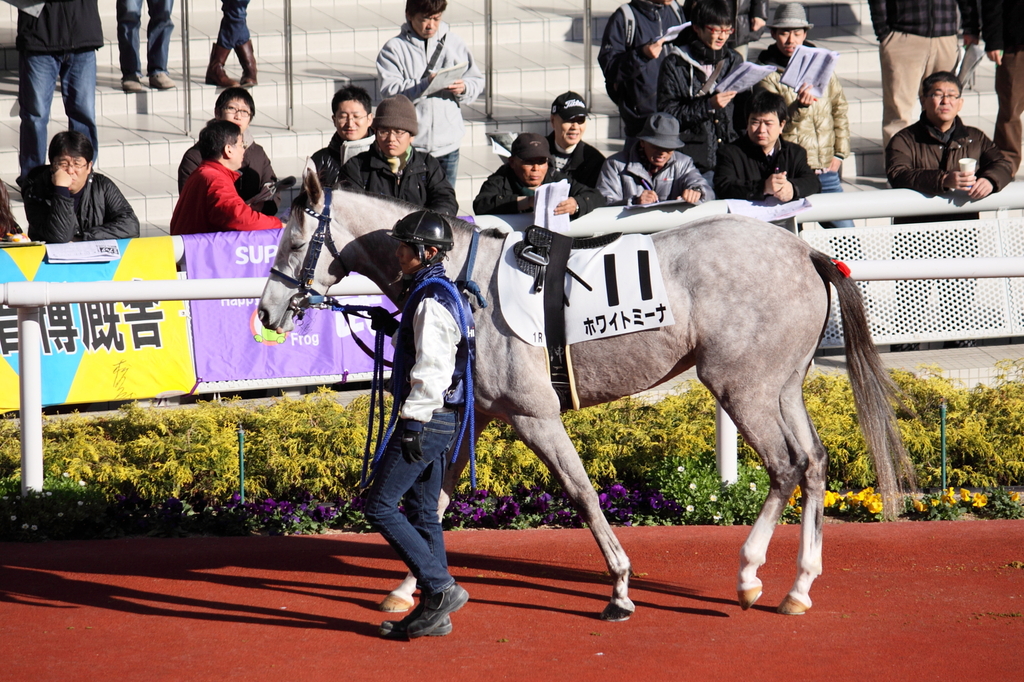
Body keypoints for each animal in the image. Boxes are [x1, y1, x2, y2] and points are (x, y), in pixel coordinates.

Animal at [258, 169, 913, 622]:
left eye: (291, 242)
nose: (266, 312)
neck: (465, 282)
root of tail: (805, 251)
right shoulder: (481, 415)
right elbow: (438, 500)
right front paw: (406, 587)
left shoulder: (534, 415)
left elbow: (581, 493)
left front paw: (620, 587)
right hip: (783, 386)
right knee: (814, 462)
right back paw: (798, 586)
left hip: (741, 386)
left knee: (784, 465)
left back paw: (750, 575)